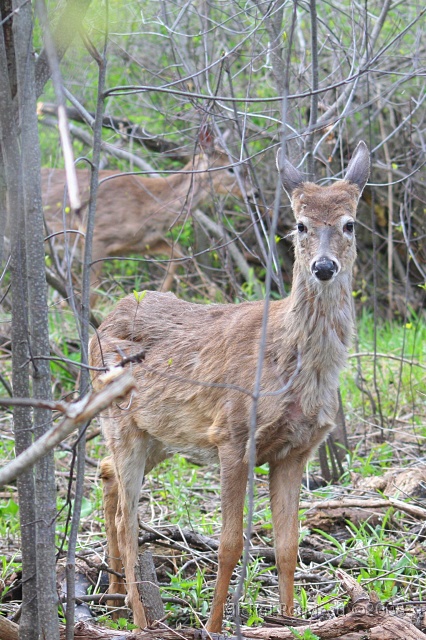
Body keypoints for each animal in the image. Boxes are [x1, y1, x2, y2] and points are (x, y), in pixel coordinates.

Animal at [42, 129, 254, 300]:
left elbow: (178, 252)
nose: (253, 193)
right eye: (231, 169)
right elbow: (92, 295)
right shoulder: (97, 237)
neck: (147, 205)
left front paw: (159, 293)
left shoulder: (139, 242)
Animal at [89, 141, 370, 631]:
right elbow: (231, 544)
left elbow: (287, 546)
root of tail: (101, 323)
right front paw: (214, 626)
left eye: (348, 223)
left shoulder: (297, 450)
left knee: (105, 475)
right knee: (127, 518)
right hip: (122, 424)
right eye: (300, 224)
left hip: (157, 435)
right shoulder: (233, 434)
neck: (293, 364)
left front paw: (290, 619)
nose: (323, 266)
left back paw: (115, 598)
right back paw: (141, 620)